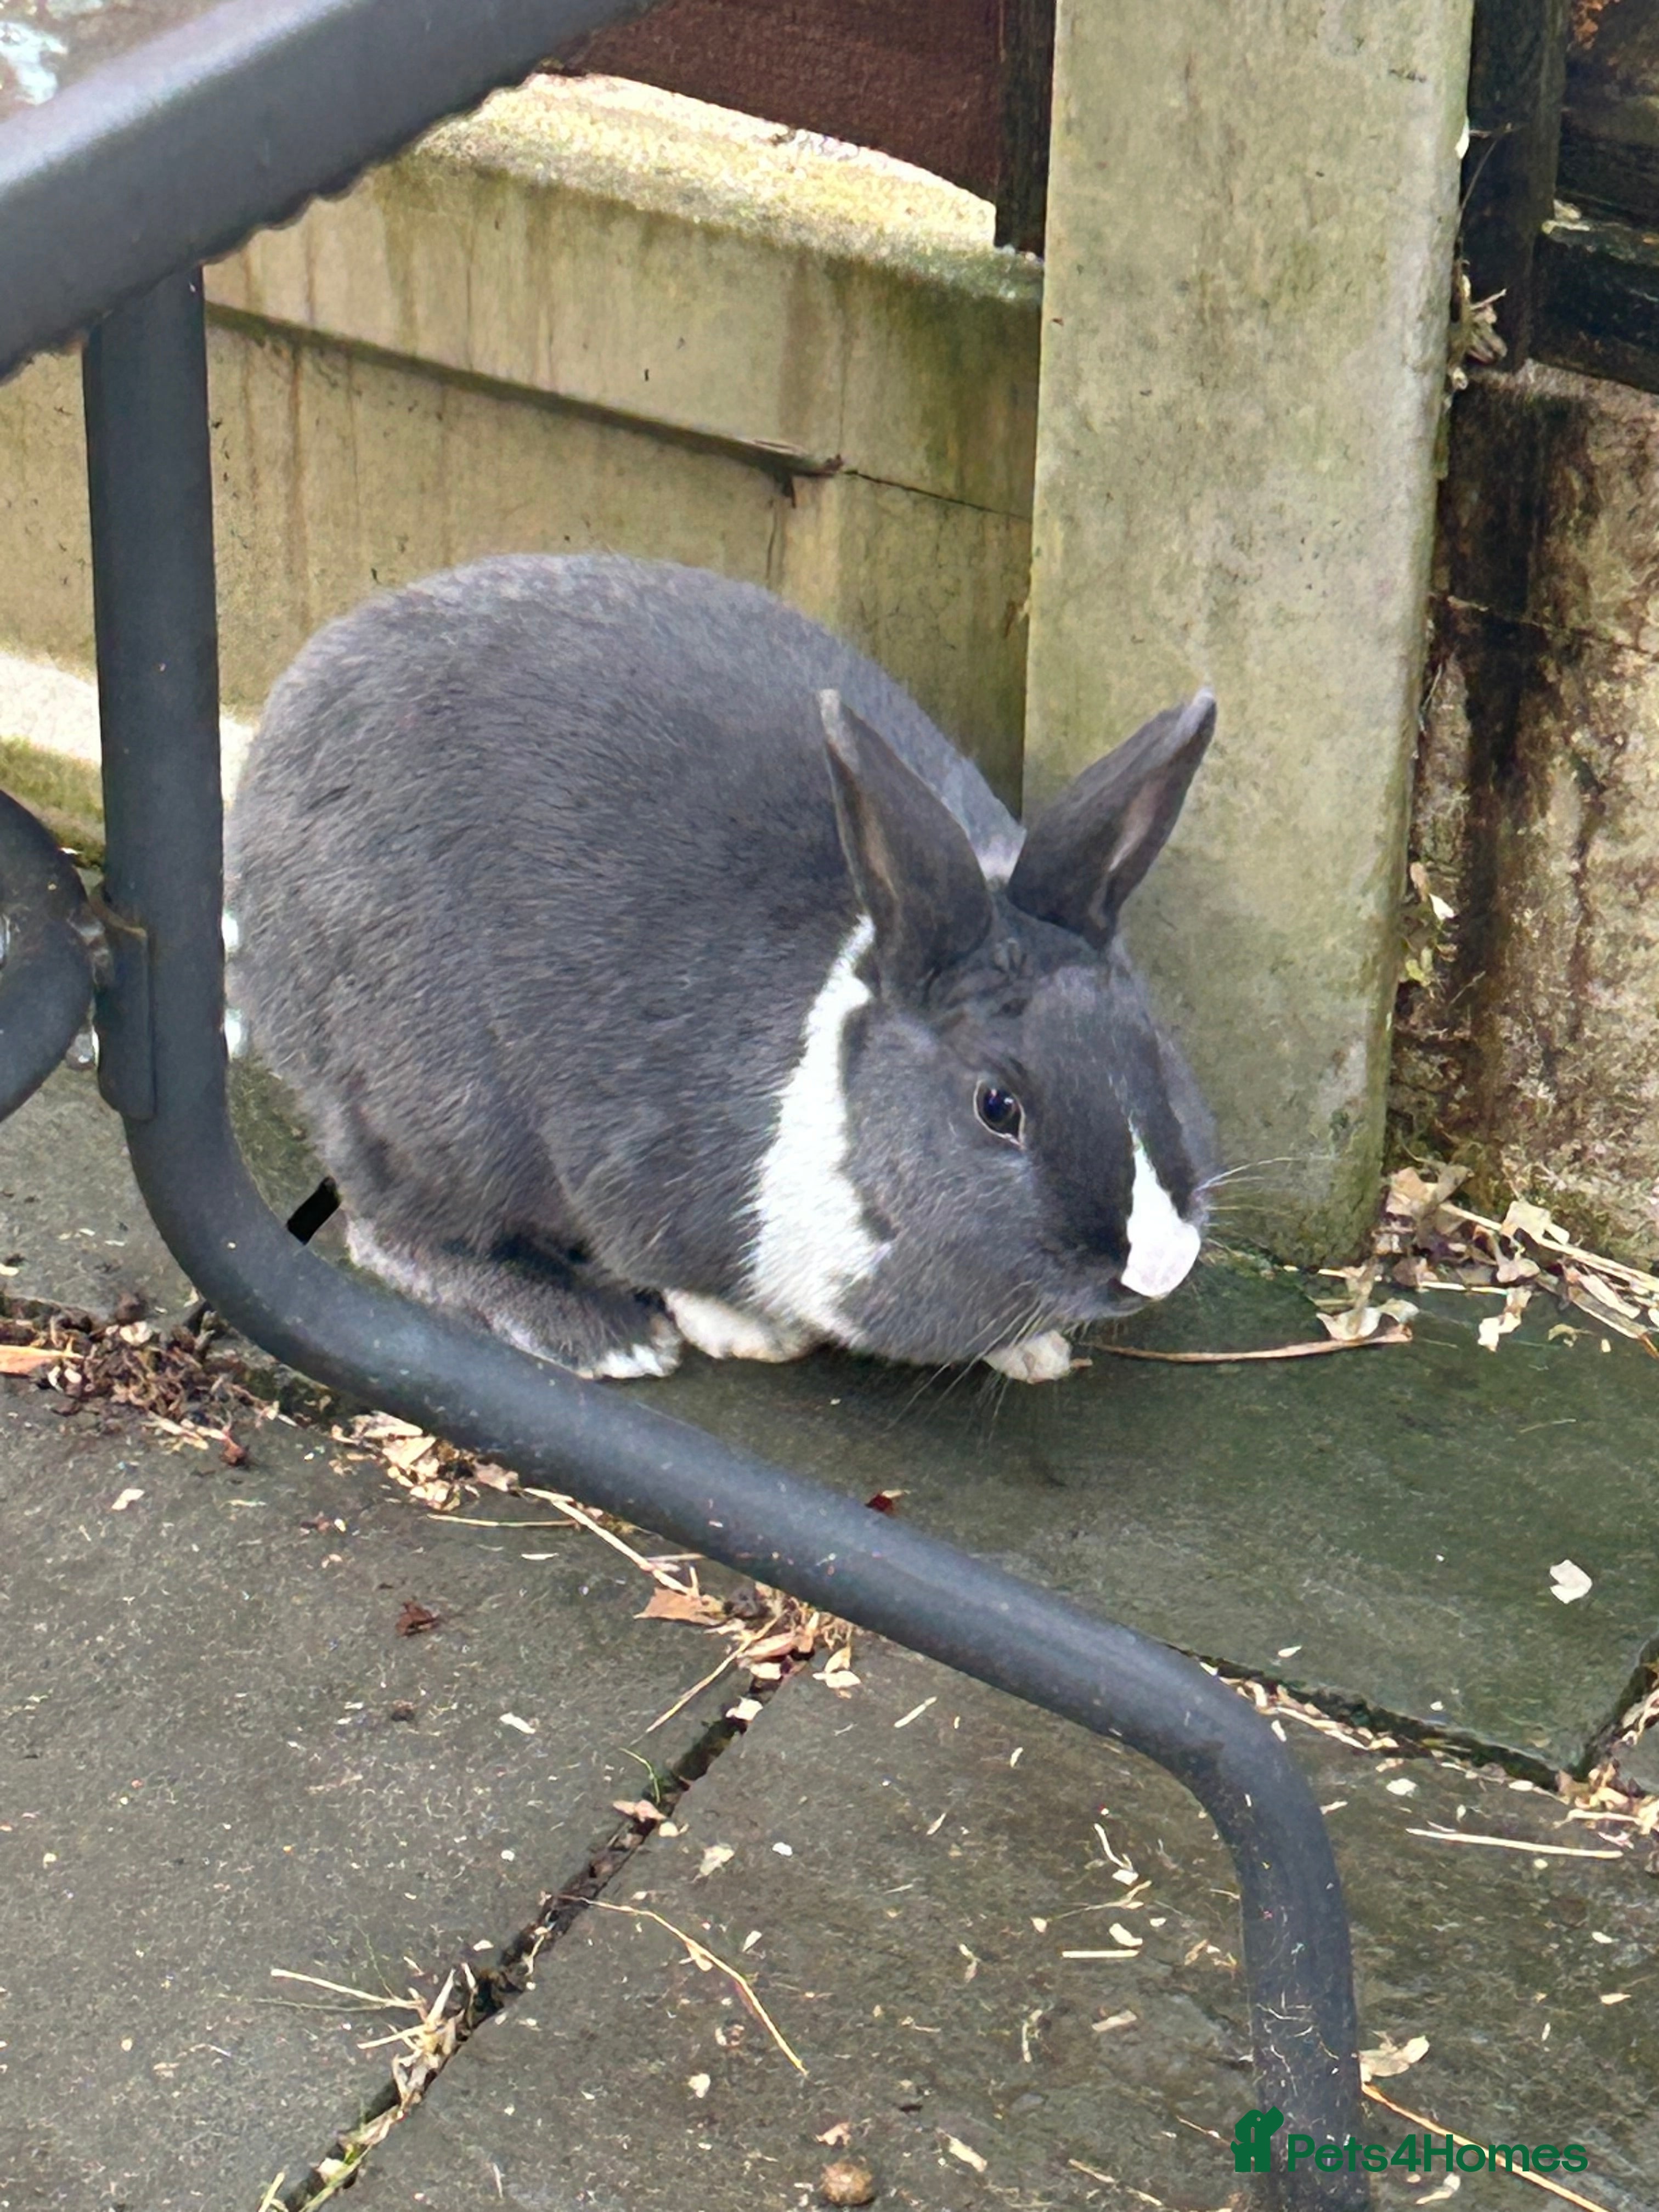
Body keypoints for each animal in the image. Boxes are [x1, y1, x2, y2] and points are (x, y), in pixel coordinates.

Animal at [226, 554, 1218, 1384]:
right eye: (996, 1107)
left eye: (1154, 1051)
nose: (1160, 1260)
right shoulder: (625, 1149)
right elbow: (662, 1257)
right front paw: (744, 1332)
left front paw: (1034, 1353)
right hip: (435, 1105)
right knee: (393, 1232)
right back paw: (603, 1337)